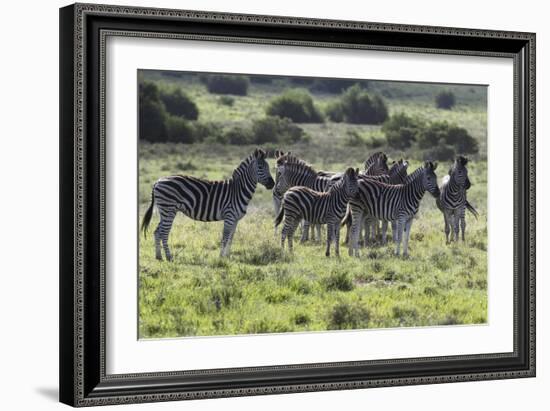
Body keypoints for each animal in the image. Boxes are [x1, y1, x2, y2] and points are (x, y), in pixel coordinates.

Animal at [142, 148, 276, 260]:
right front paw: (221, 257)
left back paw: (159, 256)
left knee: (157, 231)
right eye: (260, 167)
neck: (238, 190)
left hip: (164, 211)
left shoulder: (235, 219)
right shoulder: (229, 216)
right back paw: (169, 257)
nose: (272, 184)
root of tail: (158, 181)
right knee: (164, 232)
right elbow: (225, 237)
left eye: (269, 167)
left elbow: (231, 238)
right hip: (169, 209)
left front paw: (227, 257)